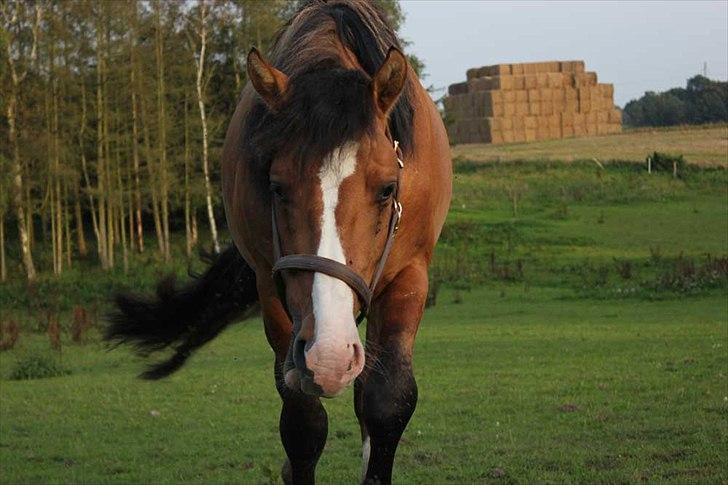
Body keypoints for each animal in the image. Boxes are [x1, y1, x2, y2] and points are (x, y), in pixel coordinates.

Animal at [105, 1, 452, 482]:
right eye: (276, 187)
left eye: (387, 189)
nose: (329, 355)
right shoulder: (273, 290)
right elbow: (303, 424)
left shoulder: (410, 275)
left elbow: (387, 400)